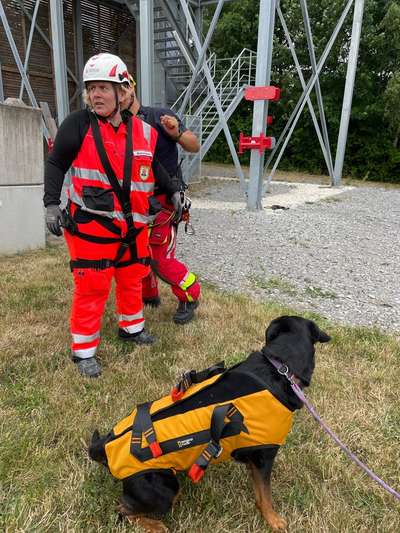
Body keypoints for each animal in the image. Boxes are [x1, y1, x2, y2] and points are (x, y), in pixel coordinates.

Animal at [90, 314, 332, 528]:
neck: (278, 367)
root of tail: (104, 447)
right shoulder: (265, 456)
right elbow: (266, 496)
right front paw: (274, 520)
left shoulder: (253, 456)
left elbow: (258, 491)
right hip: (164, 489)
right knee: (122, 510)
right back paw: (156, 526)